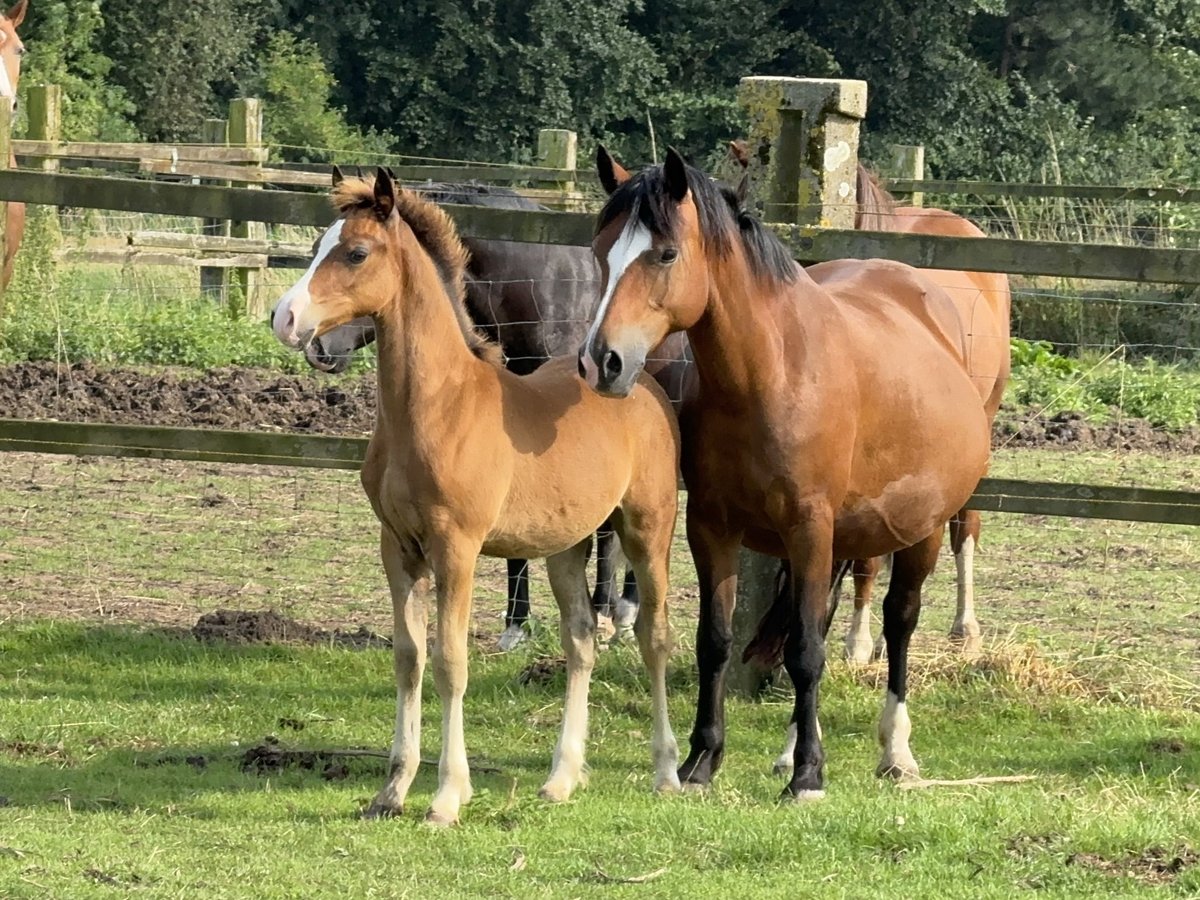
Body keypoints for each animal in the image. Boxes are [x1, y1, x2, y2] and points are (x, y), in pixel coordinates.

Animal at [274, 169, 686, 825]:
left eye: (356, 252)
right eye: (317, 244)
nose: (286, 320)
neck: (437, 406)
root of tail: (635, 380)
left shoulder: (456, 549)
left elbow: (451, 663)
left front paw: (447, 795)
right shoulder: (398, 549)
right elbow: (409, 659)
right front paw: (391, 790)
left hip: (649, 529)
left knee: (655, 636)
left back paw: (667, 771)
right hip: (562, 546)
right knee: (579, 642)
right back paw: (560, 778)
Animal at [583, 150, 993, 801]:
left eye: (665, 254)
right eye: (600, 251)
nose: (603, 361)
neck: (768, 374)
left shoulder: (808, 527)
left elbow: (804, 651)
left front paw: (808, 776)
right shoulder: (713, 528)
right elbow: (718, 641)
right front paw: (703, 761)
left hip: (920, 530)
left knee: (898, 621)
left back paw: (894, 751)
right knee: (824, 620)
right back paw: (790, 748)